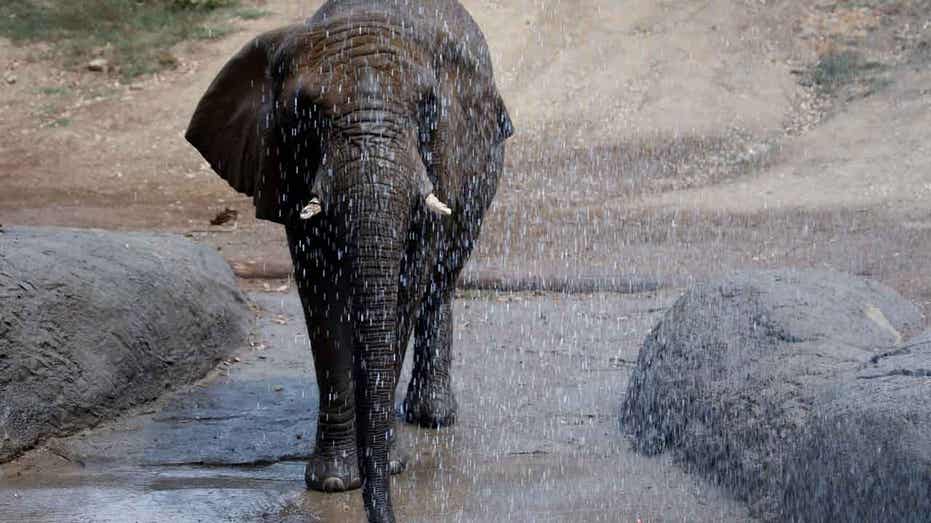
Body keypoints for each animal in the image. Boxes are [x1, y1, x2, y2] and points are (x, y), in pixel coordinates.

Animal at [185, 2, 512, 520]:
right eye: (306, 111)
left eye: (428, 108)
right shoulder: (288, 167)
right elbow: (321, 297)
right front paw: (336, 480)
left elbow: (406, 285)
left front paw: (388, 464)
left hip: (482, 167)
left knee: (443, 276)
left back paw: (433, 416)